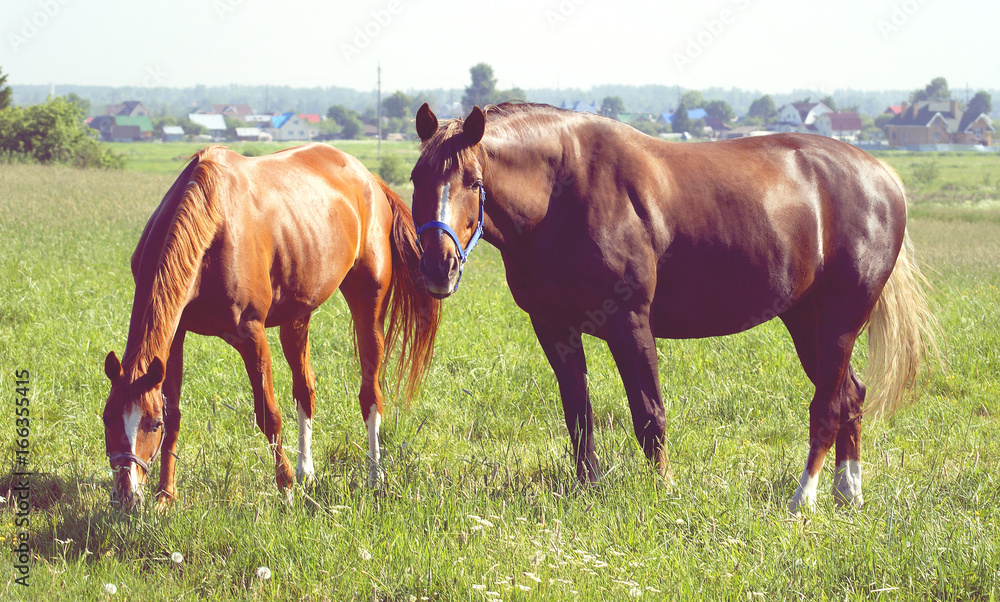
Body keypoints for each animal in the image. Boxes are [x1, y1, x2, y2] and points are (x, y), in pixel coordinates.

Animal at [100, 142, 438, 506]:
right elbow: (175, 412)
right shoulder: (175, 336)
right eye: (107, 418)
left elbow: (268, 415)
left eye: (150, 424)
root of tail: (369, 178)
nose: (126, 496)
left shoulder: (251, 334)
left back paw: (374, 477)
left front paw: (285, 490)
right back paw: (307, 472)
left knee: (370, 391)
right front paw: (165, 496)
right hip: (298, 316)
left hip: (368, 303)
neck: (212, 225)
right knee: (305, 389)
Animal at [408, 103, 936, 510]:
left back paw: (802, 499)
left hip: (839, 322)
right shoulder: (555, 328)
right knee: (851, 396)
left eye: (473, 181)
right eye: (416, 177)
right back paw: (848, 494)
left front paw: (662, 489)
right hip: (807, 322)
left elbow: (649, 414)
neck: (563, 192)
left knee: (827, 406)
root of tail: (883, 178)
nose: (437, 266)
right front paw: (588, 489)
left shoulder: (630, 323)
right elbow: (578, 414)